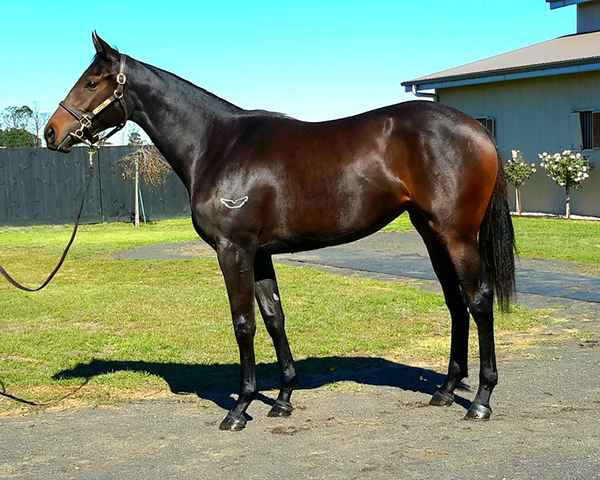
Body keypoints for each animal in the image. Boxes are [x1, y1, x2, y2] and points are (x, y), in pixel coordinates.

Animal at [45, 33, 516, 432]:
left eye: (91, 82)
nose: (52, 132)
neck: (217, 146)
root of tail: (476, 128)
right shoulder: (259, 253)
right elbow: (273, 317)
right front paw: (284, 398)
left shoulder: (232, 250)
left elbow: (243, 324)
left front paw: (239, 408)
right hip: (431, 232)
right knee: (455, 303)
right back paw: (446, 390)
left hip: (457, 235)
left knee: (478, 301)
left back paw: (481, 400)